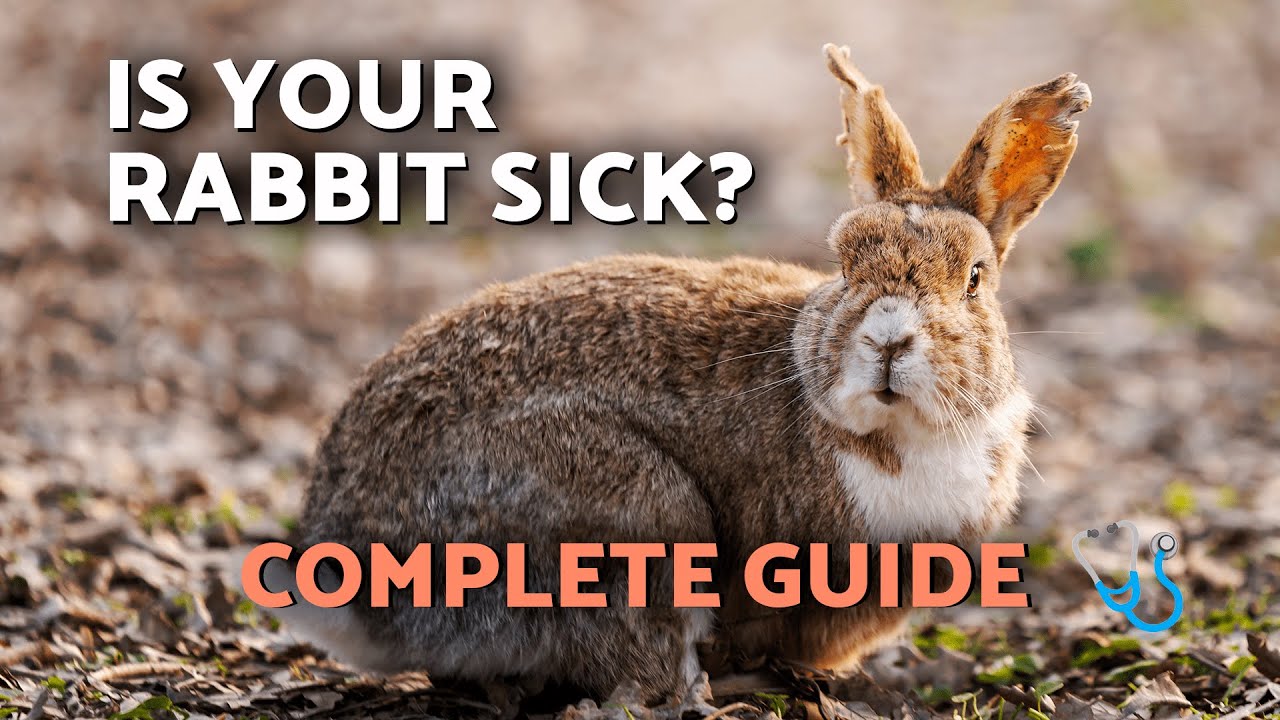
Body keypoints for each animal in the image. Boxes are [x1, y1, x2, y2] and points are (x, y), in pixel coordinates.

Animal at [266, 44, 1090, 703]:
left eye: (975, 279)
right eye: (846, 262)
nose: (888, 340)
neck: (895, 432)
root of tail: (348, 567)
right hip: (637, 519)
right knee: (644, 676)